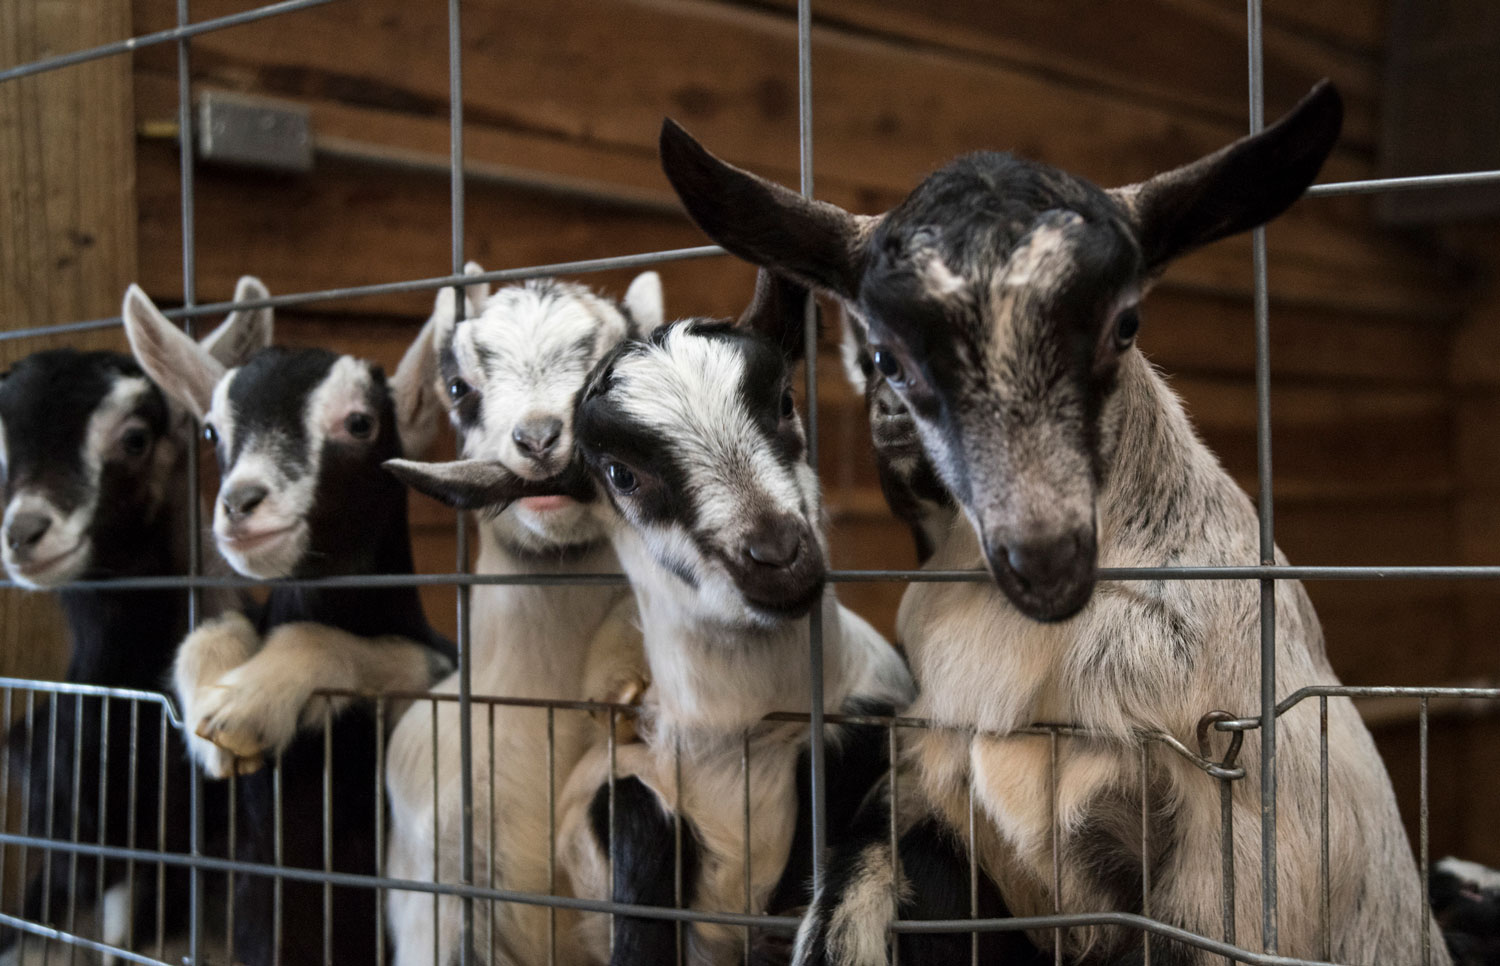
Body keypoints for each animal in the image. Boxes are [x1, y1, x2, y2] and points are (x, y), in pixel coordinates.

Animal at [121, 285, 454, 966]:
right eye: (213, 429)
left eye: (360, 423)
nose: (241, 504)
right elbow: (212, 630)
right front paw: (212, 718)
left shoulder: (435, 672)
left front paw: (248, 705)